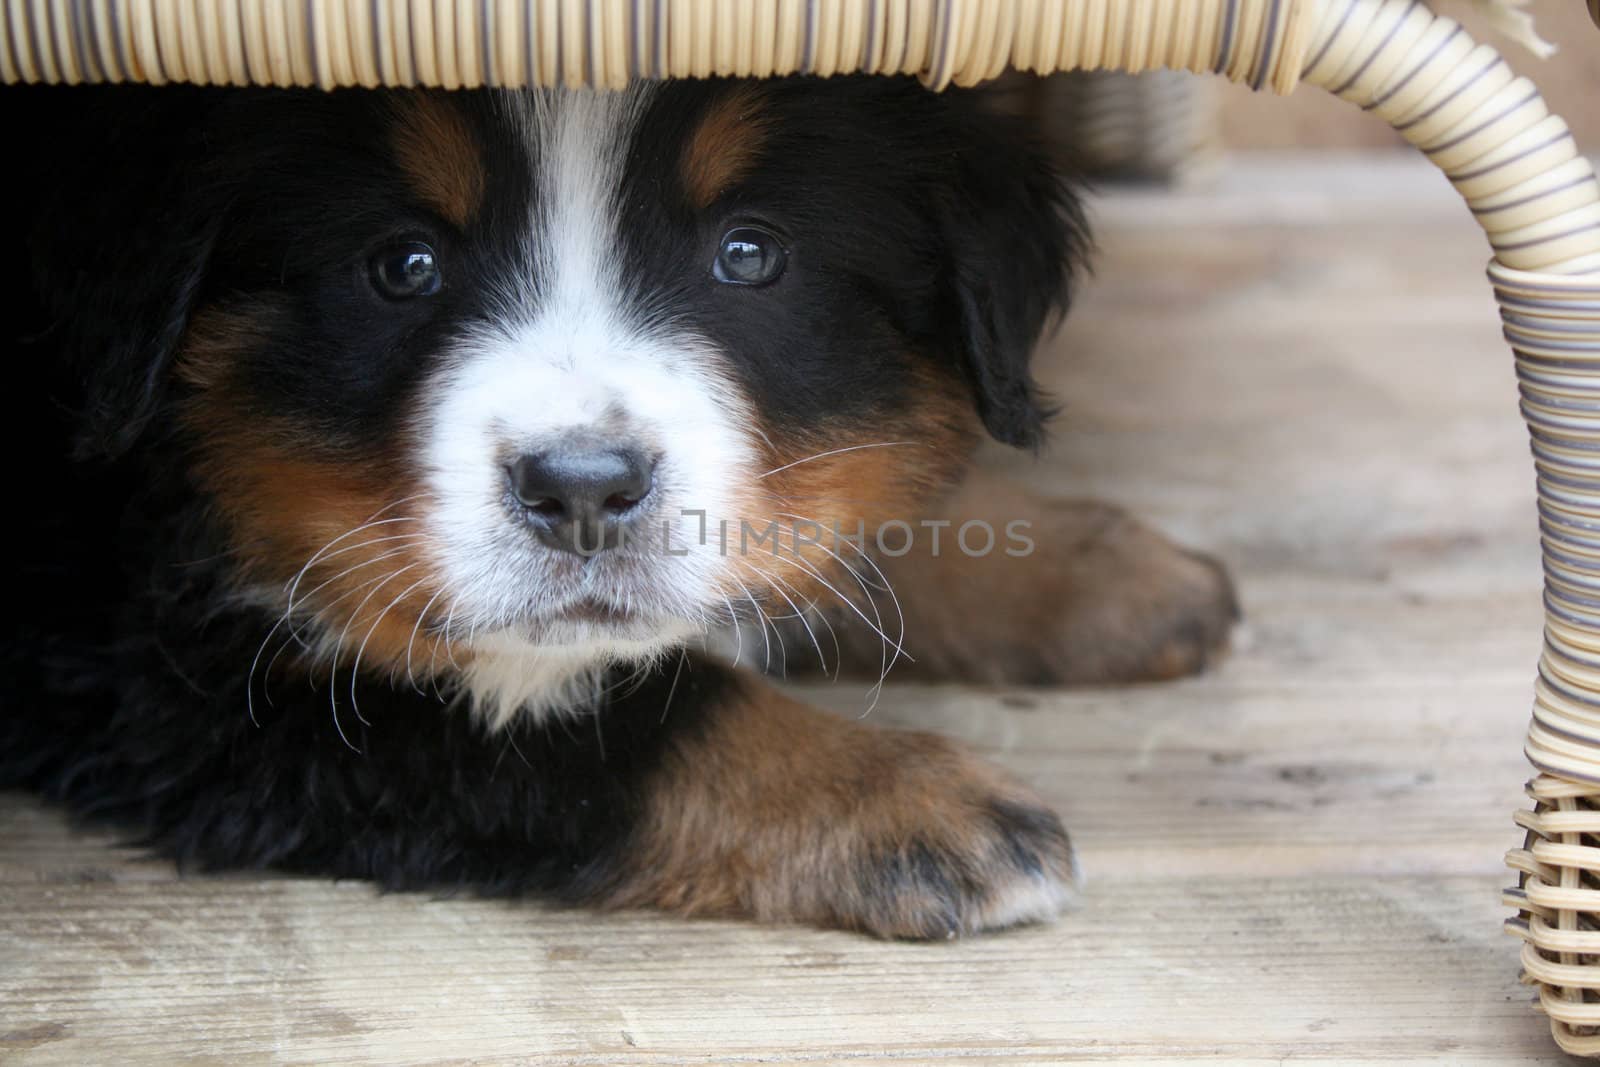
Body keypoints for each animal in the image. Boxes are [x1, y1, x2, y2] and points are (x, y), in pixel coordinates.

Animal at [3, 79, 1235, 940]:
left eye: (750, 254)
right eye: (403, 265)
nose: (582, 487)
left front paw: (1104, 571)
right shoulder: (179, 687)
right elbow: (628, 721)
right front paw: (915, 798)